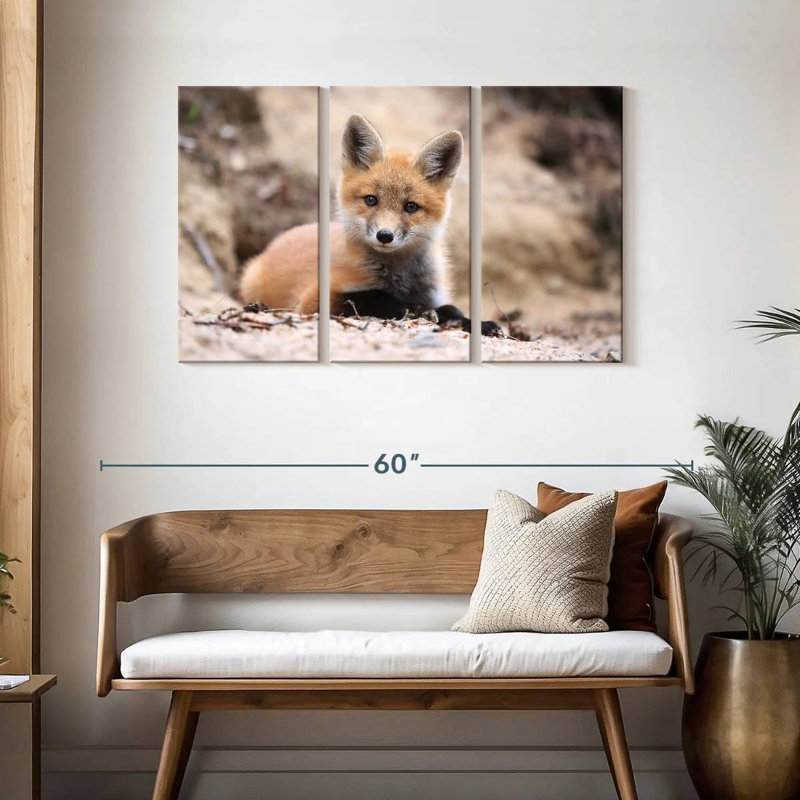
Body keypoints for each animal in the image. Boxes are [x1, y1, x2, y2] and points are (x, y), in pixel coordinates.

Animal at [240, 114, 501, 335]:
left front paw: (479, 324)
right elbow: (370, 297)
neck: (401, 279)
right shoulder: (312, 299)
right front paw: (414, 308)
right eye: (371, 200)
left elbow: (452, 309)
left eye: (411, 206)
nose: (384, 235)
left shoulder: (435, 294)